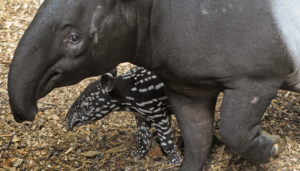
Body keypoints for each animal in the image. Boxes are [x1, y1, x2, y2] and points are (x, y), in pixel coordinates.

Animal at [7, 0, 300, 170]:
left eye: (74, 37)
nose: (25, 111)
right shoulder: (186, 84)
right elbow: (197, 136)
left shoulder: (254, 78)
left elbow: (234, 130)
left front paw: (274, 147)